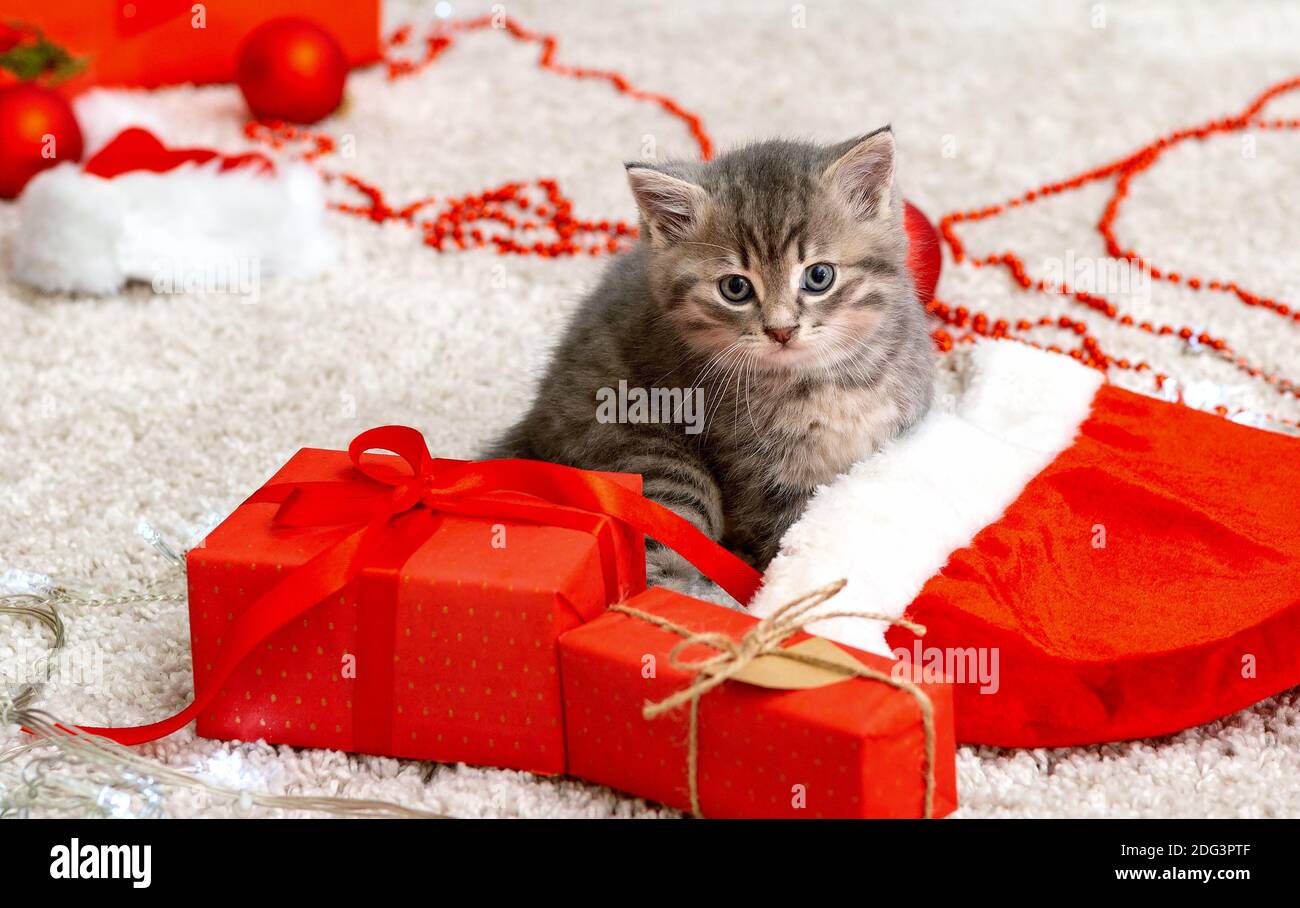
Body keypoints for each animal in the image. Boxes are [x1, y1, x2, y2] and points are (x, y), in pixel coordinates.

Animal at [488, 125, 935, 580]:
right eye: (735, 288)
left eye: (819, 276)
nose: (781, 330)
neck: (826, 378)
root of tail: (533, 428)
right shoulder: (759, 474)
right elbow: (788, 540)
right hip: (652, 458)